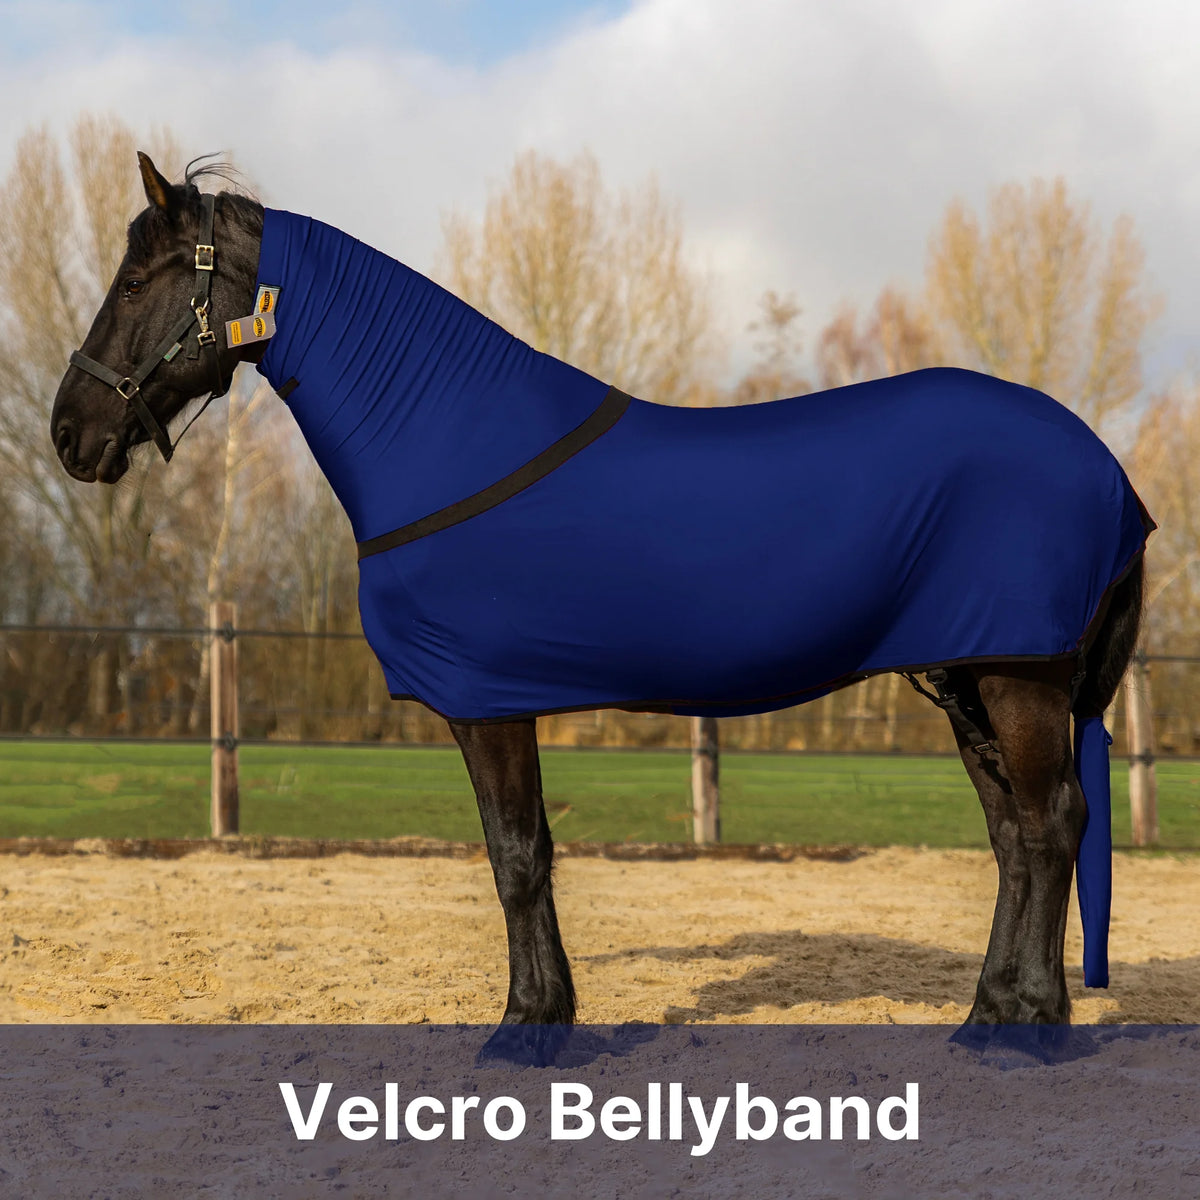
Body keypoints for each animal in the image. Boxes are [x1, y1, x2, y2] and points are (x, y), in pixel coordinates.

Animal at [50, 154, 1151, 1063]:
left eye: (139, 282)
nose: (69, 431)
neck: (448, 440)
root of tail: (1109, 471)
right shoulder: (500, 699)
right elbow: (527, 852)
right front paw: (548, 1013)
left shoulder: (486, 701)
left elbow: (516, 856)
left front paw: (527, 1026)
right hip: (969, 676)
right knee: (1012, 836)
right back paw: (986, 1015)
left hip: (1019, 676)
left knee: (1050, 824)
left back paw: (1031, 1027)